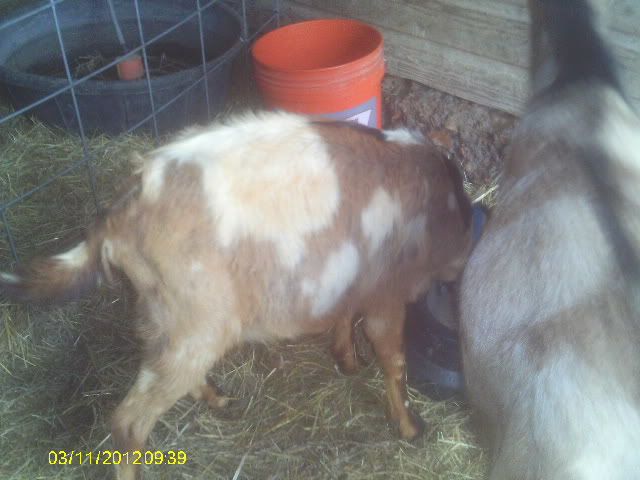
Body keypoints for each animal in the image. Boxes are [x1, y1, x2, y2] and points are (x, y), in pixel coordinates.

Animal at [1, 112, 472, 479]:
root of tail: (117, 216)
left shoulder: (355, 279)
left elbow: (344, 317)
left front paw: (347, 359)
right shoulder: (388, 294)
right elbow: (394, 361)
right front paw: (409, 426)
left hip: (169, 316)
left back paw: (216, 397)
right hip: (198, 322)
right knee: (128, 423)